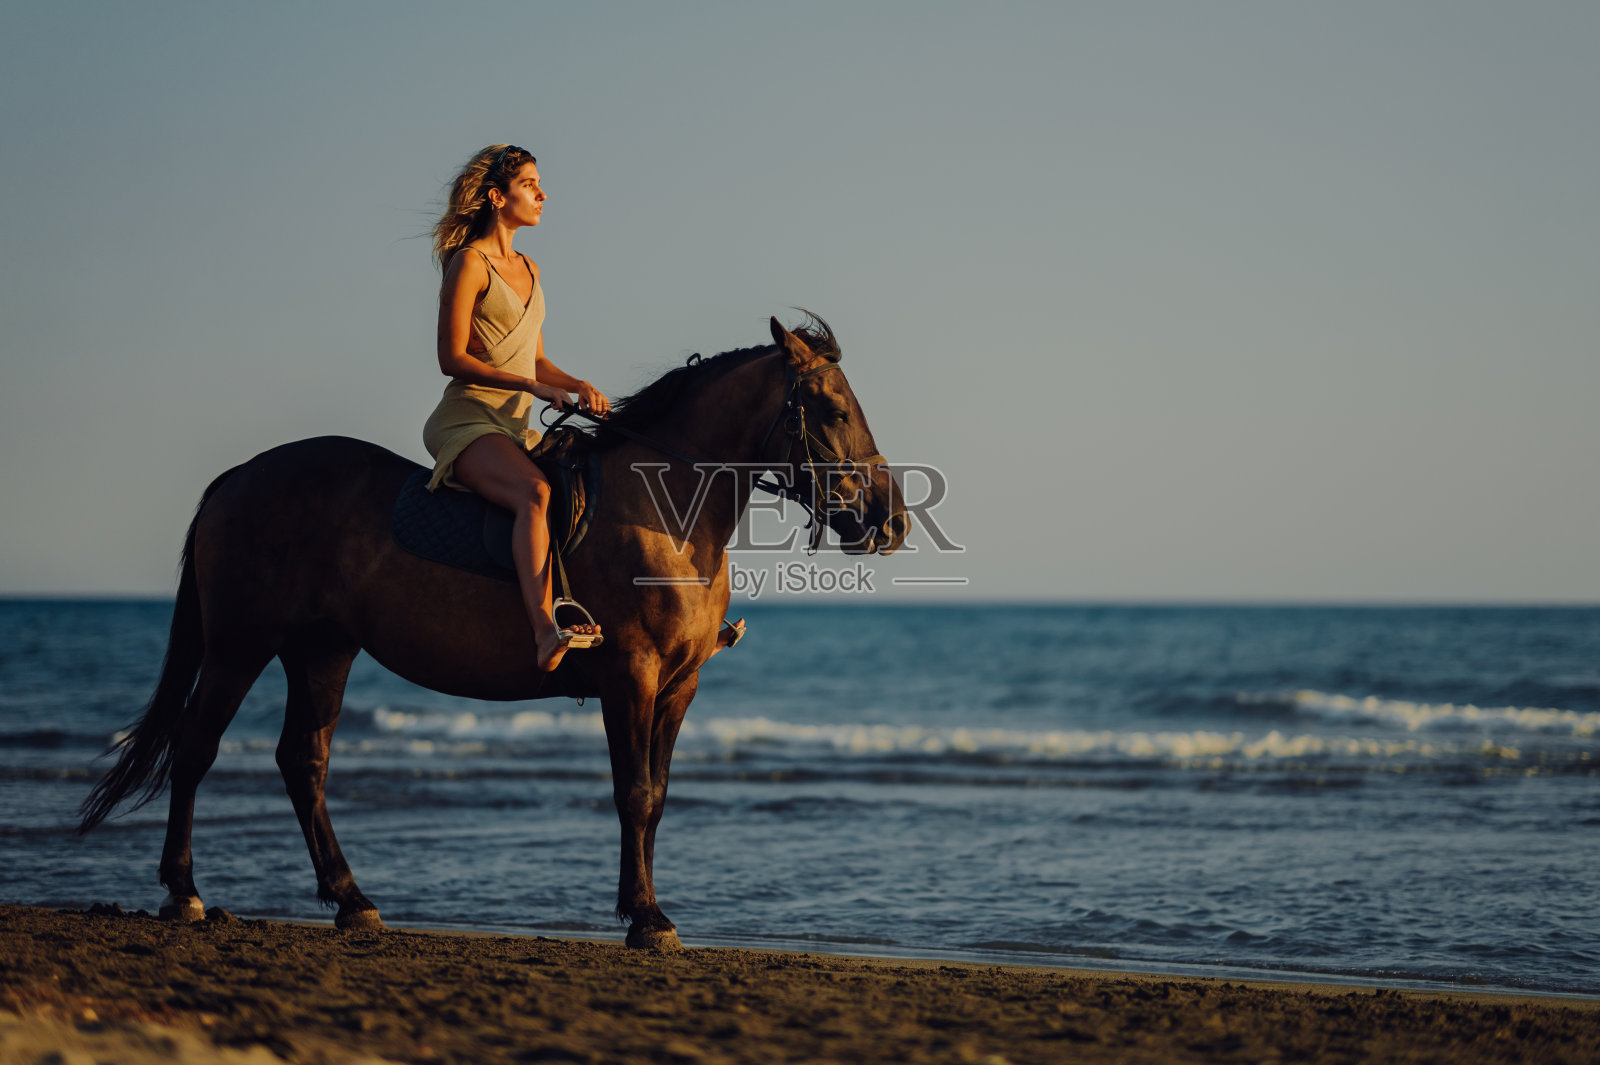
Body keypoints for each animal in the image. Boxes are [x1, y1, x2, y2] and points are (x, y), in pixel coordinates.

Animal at [78, 315, 909, 949]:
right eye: (833, 408)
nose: (890, 519)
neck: (664, 511)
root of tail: (239, 476)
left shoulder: (680, 684)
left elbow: (660, 795)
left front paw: (646, 908)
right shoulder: (631, 676)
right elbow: (635, 793)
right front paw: (646, 917)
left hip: (321, 648)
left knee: (302, 761)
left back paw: (352, 899)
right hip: (240, 644)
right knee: (196, 746)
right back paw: (184, 891)